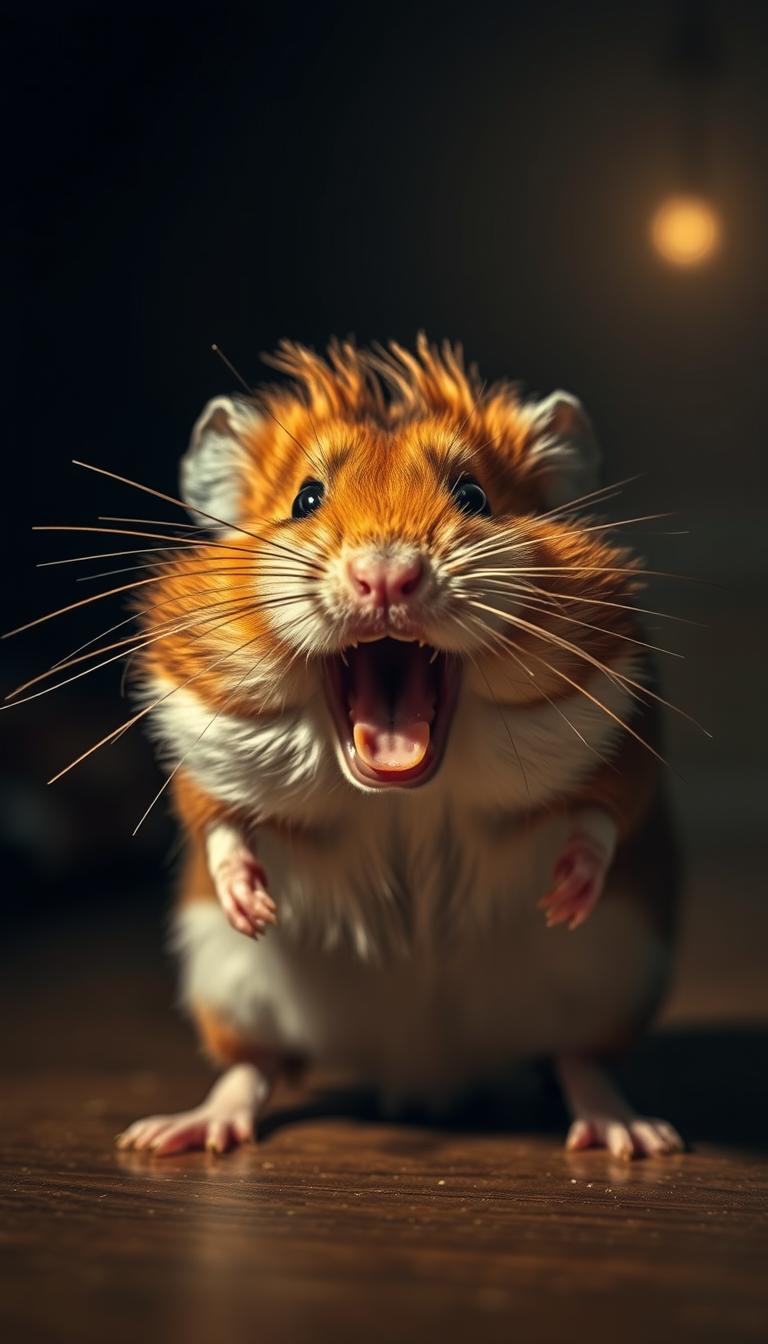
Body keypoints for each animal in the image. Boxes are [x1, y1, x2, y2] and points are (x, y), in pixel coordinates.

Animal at [112, 336, 683, 1160]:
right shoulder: (201, 770)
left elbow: (601, 819)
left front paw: (564, 898)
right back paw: (170, 1135)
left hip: (606, 989)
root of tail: (421, 1075)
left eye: (473, 495)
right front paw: (254, 908)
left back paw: (634, 1137)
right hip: (233, 995)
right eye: (306, 499)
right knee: (253, 1070)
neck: (401, 797)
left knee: (578, 1060)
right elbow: (220, 828)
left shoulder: (628, 746)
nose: (385, 577)